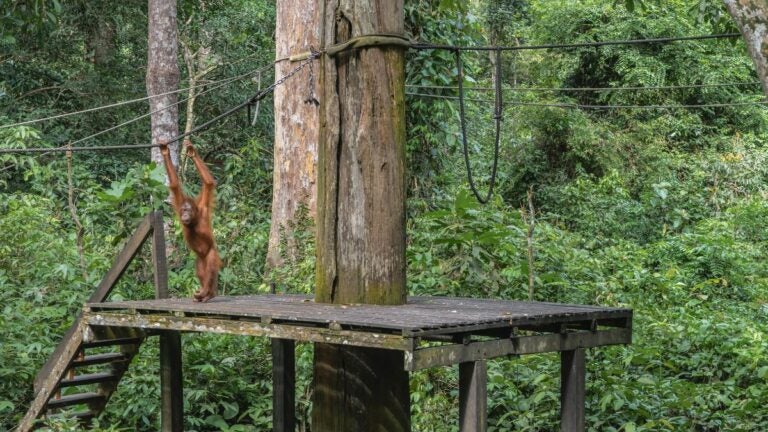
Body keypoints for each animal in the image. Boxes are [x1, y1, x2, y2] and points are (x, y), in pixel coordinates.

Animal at [160, 140, 222, 302]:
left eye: (188, 210)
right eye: (183, 210)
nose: (184, 216)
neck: (194, 220)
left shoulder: (204, 207)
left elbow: (208, 183)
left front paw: (192, 151)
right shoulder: (178, 202)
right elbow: (175, 184)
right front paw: (165, 151)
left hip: (211, 254)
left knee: (211, 267)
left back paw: (208, 293)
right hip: (200, 259)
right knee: (201, 270)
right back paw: (205, 294)